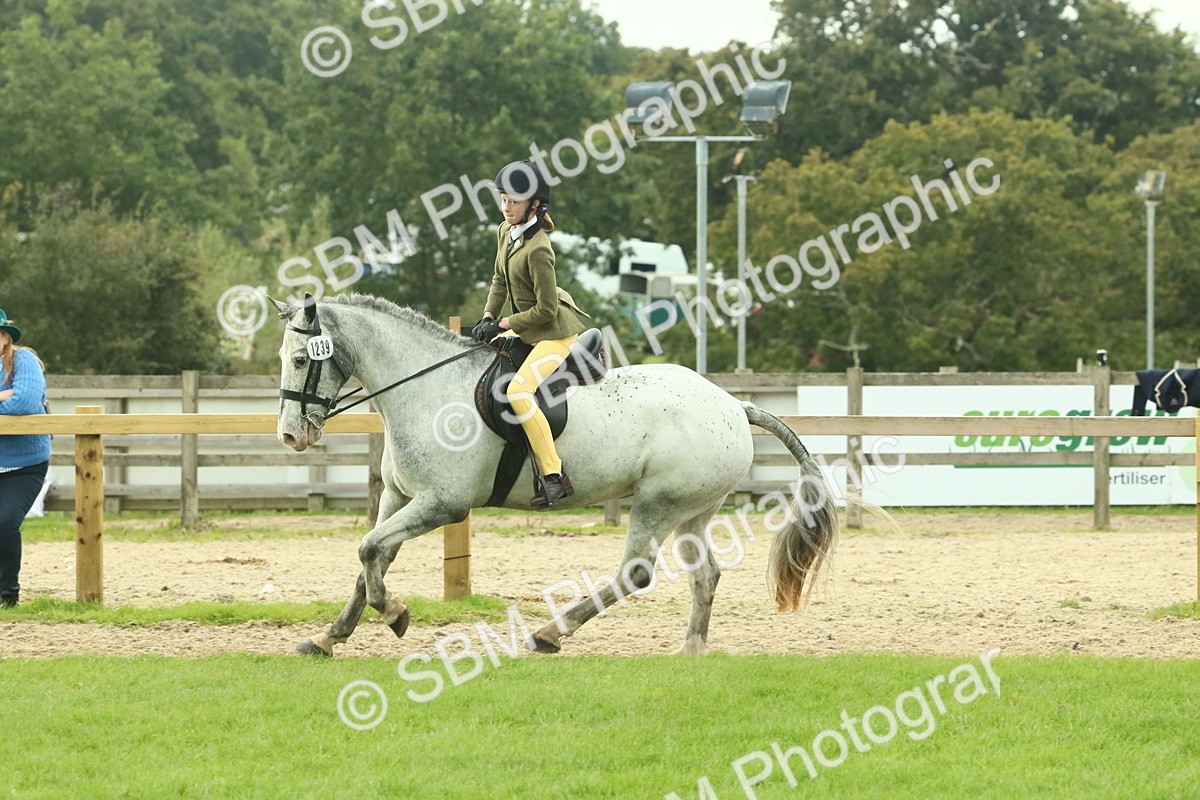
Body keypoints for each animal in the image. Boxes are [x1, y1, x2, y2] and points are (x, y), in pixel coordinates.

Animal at [271, 293, 839, 657]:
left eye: (300, 359)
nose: (291, 436)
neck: (424, 389)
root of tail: (733, 405)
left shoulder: (443, 504)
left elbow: (369, 550)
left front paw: (396, 615)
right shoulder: (397, 497)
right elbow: (372, 557)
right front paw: (329, 636)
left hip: (657, 503)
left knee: (635, 572)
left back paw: (550, 633)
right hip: (694, 511)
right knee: (705, 576)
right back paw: (691, 649)